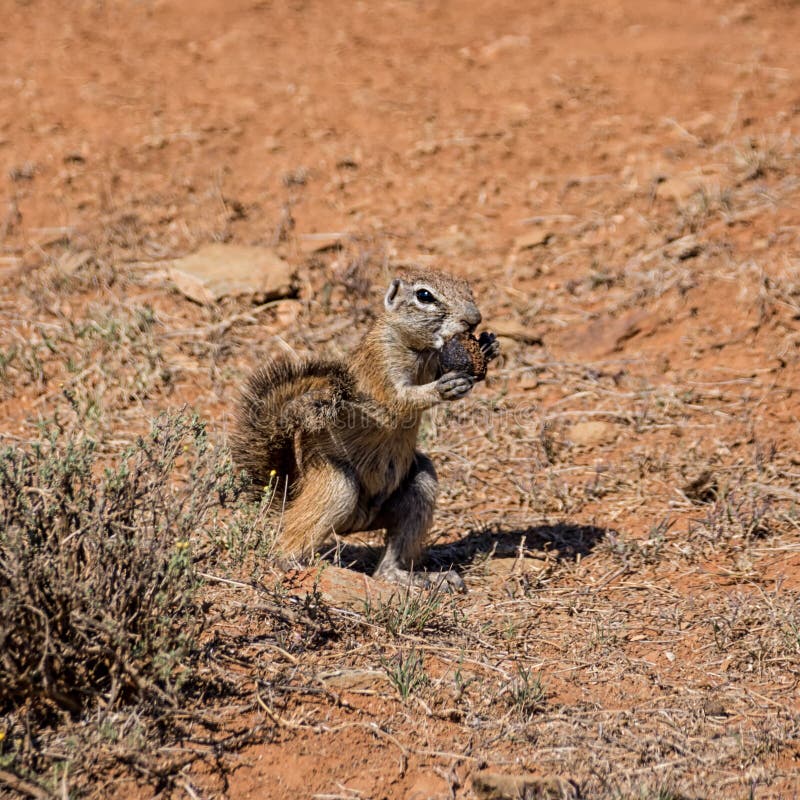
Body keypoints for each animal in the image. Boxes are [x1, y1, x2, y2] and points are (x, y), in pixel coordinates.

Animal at [231, 269, 498, 590]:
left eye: (468, 287)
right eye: (424, 295)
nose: (474, 319)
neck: (417, 349)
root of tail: (291, 495)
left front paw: (488, 347)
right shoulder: (381, 365)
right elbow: (399, 400)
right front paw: (445, 387)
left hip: (421, 484)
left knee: (387, 563)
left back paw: (421, 577)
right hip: (336, 485)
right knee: (287, 542)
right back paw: (294, 565)